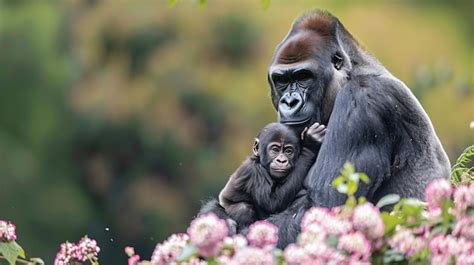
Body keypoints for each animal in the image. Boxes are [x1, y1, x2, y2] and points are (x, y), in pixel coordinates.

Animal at [264, 9, 450, 245]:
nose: (289, 102)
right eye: (282, 80)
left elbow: (324, 206)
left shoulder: (362, 98)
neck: (352, 71)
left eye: (304, 77)